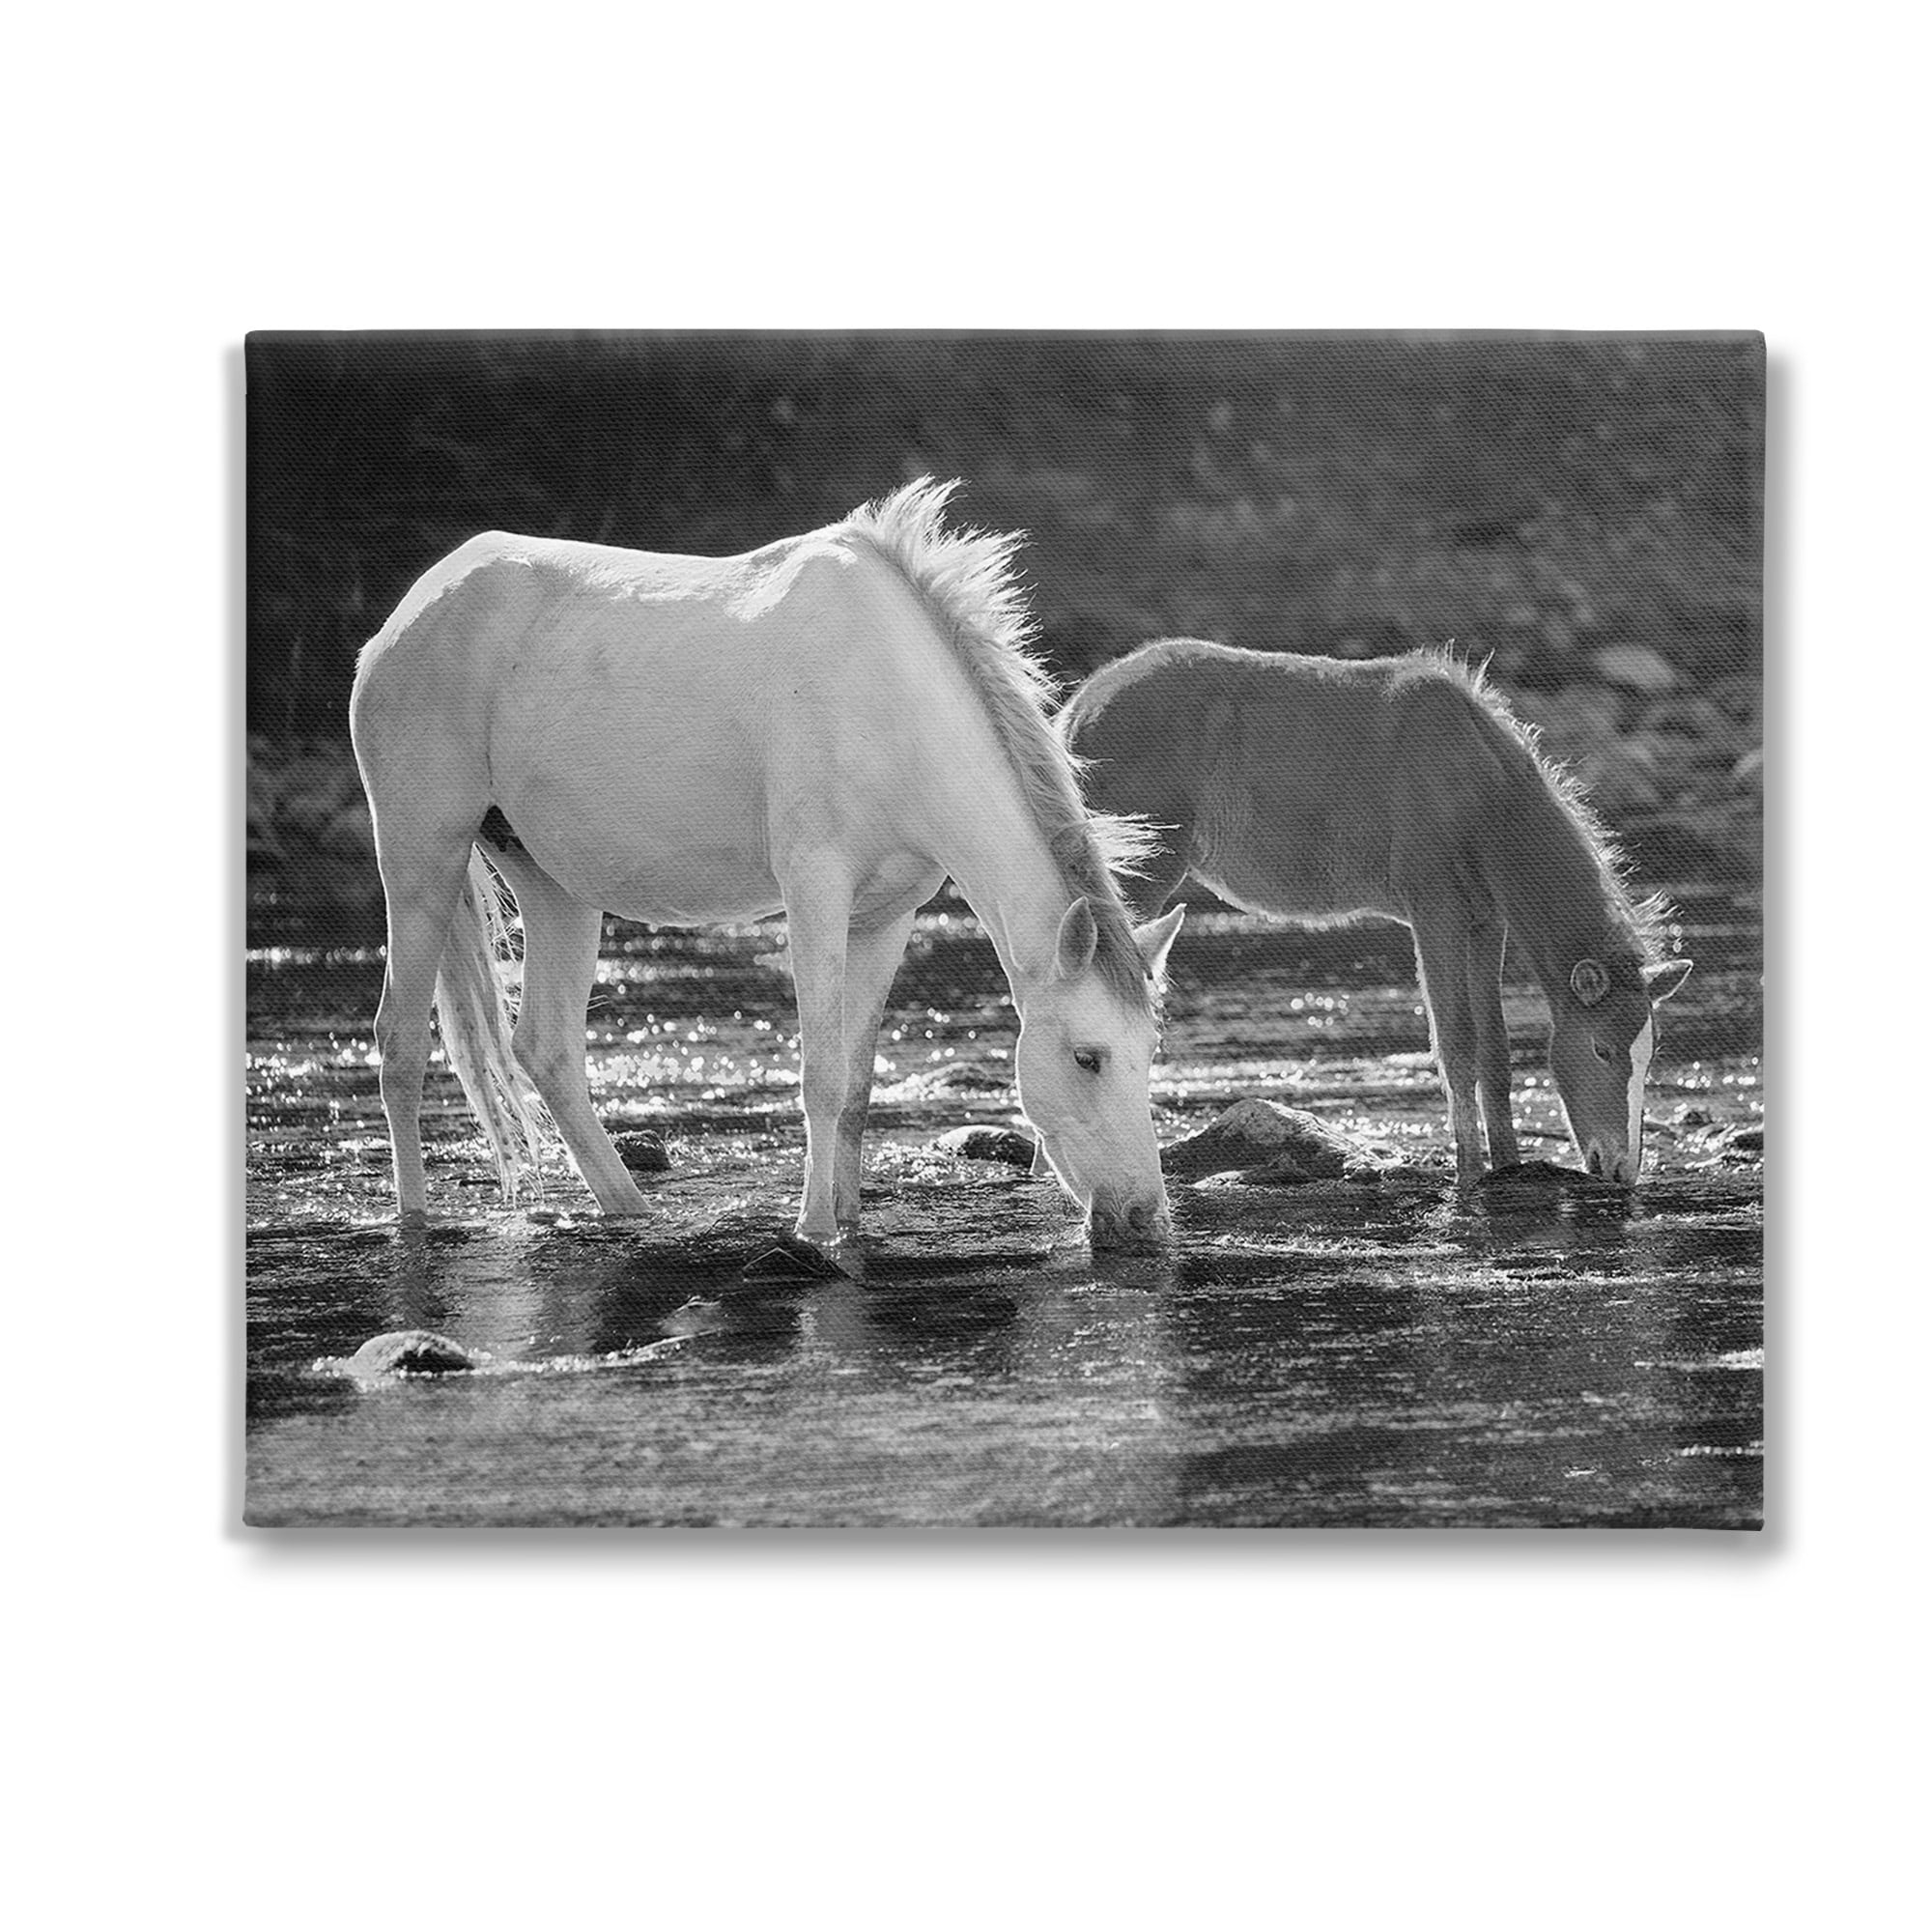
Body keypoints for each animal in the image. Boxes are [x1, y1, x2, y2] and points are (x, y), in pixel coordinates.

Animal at [349, 478, 1186, 1254]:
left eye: (1151, 1051)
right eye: (1087, 1057)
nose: (1144, 1218)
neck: (889, 701)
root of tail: (403, 620)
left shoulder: (886, 917)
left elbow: (856, 1086)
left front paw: (850, 1220)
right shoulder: (814, 890)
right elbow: (821, 1075)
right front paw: (813, 1228)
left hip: (553, 882)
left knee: (546, 1048)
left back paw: (631, 1211)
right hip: (423, 853)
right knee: (401, 1043)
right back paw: (412, 1221)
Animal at [1058, 639, 1691, 1185]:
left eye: (1650, 1054)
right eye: (1602, 1049)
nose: (1621, 1169)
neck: (1481, 789)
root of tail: (1079, 708)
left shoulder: (1487, 924)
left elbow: (1496, 1048)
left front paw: (1509, 1165)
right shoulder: (1436, 912)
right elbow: (1456, 1044)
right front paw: (1469, 1175)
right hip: (1141, 875)